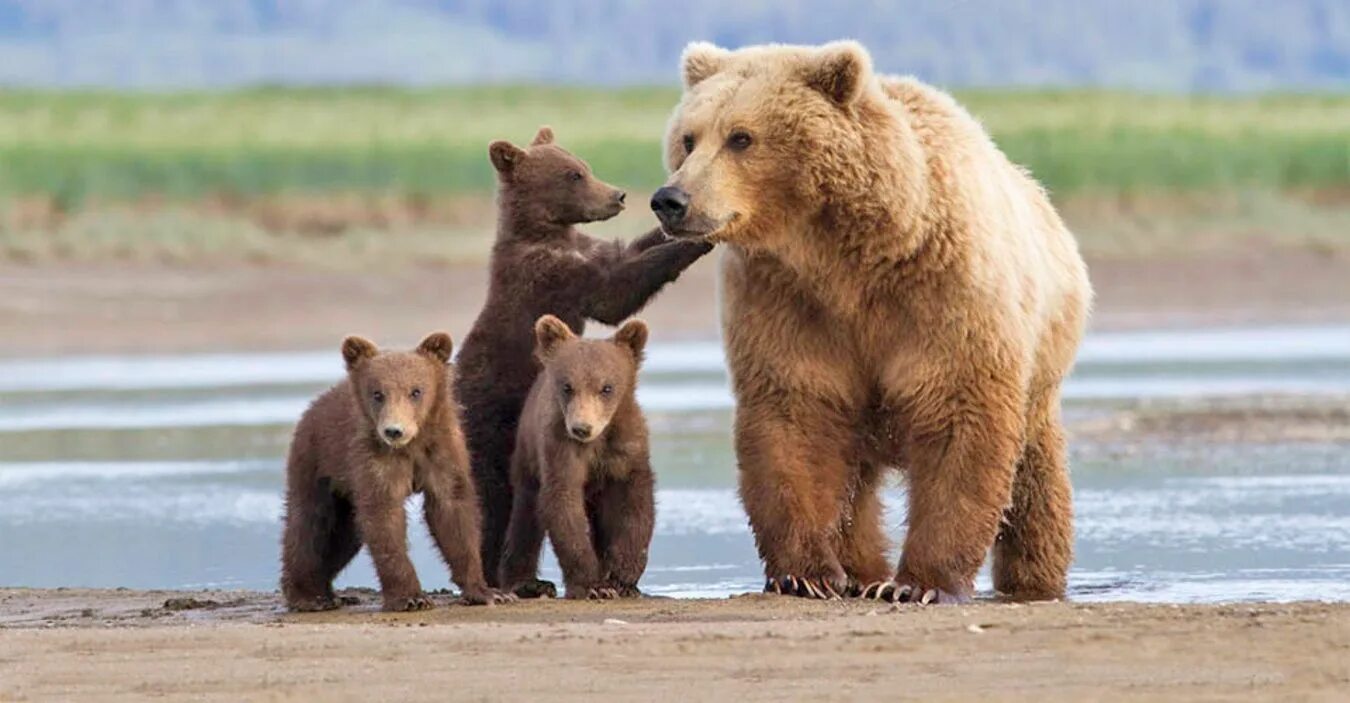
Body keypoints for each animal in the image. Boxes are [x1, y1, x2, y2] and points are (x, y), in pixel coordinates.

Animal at [653, 41, 1096, 599]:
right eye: (688, 138)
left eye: (741, 137)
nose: (671, 199)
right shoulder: (788, 302)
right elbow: (795, 417)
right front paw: (808, 574)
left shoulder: (946, 298)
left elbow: (959, 420)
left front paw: (919, 585)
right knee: (855, 485)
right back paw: (861, 572)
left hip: (1040, 365)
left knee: (1035, 476)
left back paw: (1033, 576)